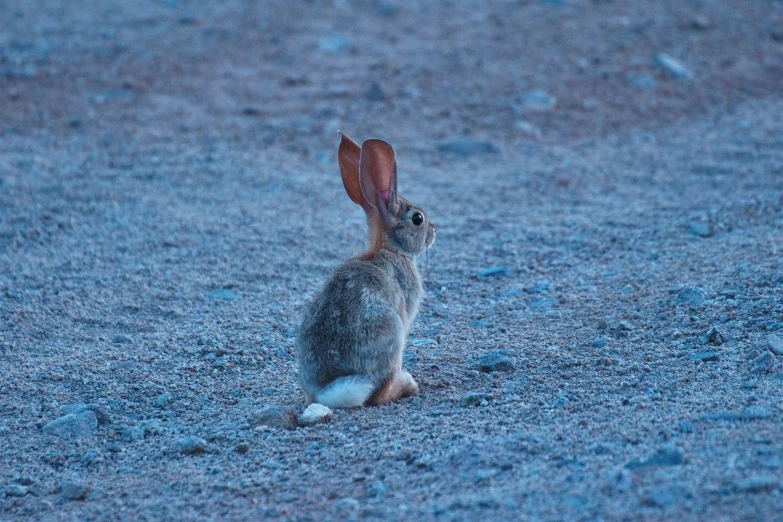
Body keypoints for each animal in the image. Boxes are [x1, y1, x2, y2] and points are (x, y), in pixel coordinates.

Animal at [298, 133, 438, 406]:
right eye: (417, 219)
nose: (434, 230)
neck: (389, 248)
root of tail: (328, 392)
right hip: (392, 331)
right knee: (378, 393)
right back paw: (407, 385)